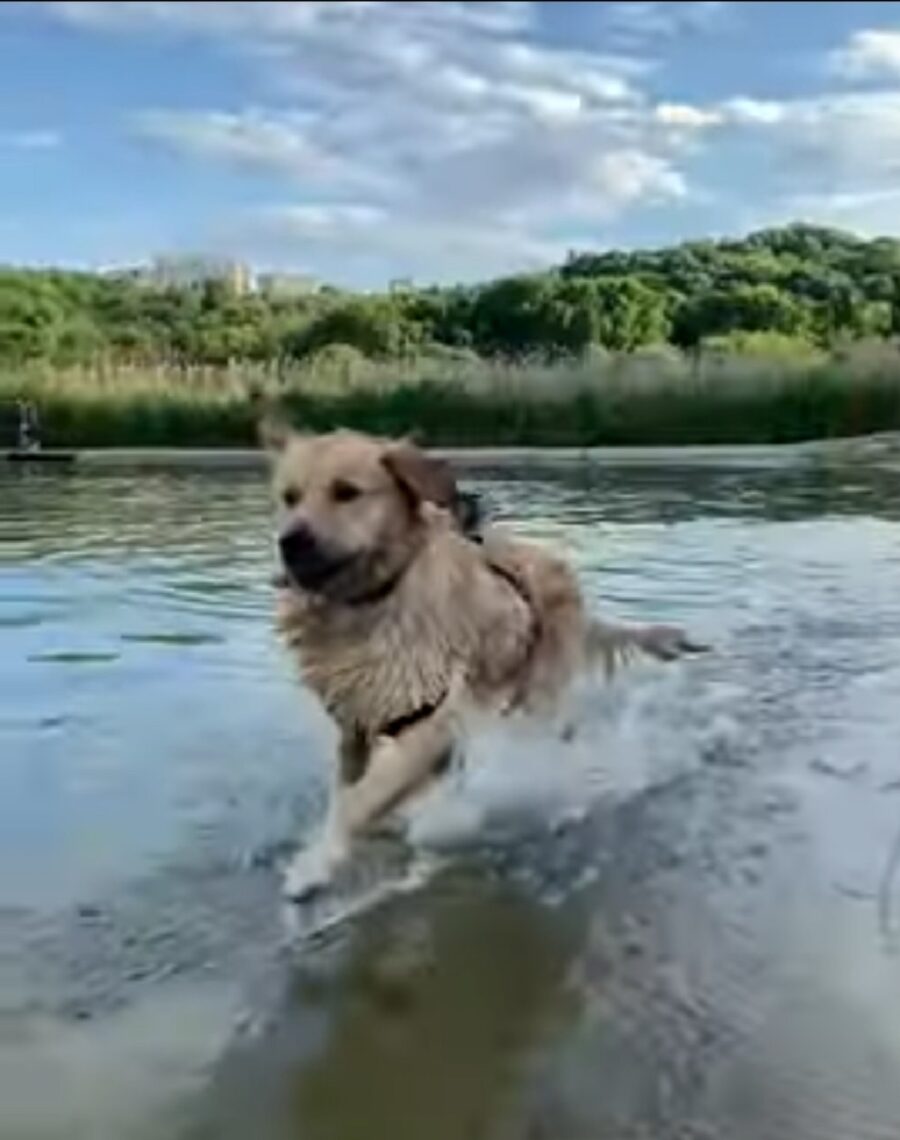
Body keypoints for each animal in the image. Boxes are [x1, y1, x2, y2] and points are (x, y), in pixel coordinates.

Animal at [263, 421, 707, 898]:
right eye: (289, 497)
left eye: (346, 492)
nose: (290, 542)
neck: (370, 602)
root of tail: (557, 564)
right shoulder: (357, 723)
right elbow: (351, 788)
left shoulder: (430, 719)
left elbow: (356, 801)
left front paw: (314, 864)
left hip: (536, 698)